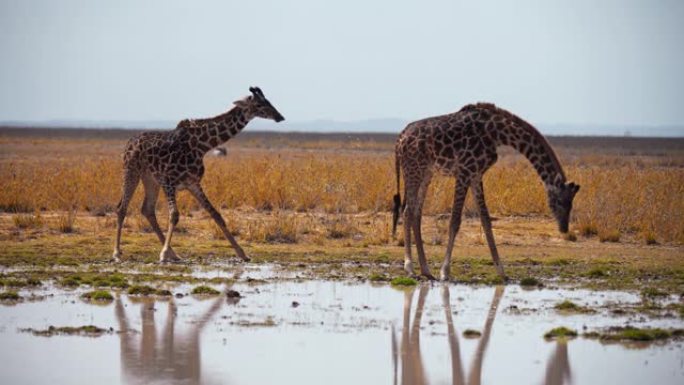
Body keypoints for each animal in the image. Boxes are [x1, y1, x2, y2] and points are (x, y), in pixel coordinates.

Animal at [112, 86, 284, 260]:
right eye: (259, 104)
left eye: (268, 101)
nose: (280, 117)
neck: (202, 146)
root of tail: (129, 142)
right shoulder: (169, 181)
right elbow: (174, 215)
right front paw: (164, 252)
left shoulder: (193, 183)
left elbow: (216, 214)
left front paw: (242, 253)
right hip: (131, 171)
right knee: (122, 208)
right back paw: (117, 253)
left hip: (150, 178)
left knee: (147, 209)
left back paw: (173, 253)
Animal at [392, 103, 580, 280]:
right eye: (559, 202)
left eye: (571, 204)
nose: (564, 228)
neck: (497, 134)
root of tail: (399, 138)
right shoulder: (464, 172)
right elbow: (455, 221)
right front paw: (445, 272)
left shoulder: (476, 175)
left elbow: (486, 220)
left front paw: (502, 272)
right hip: (413, 169)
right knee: (408, 211)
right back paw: (410, 268)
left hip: (426, 172)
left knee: (416, 212)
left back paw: (425, 269)